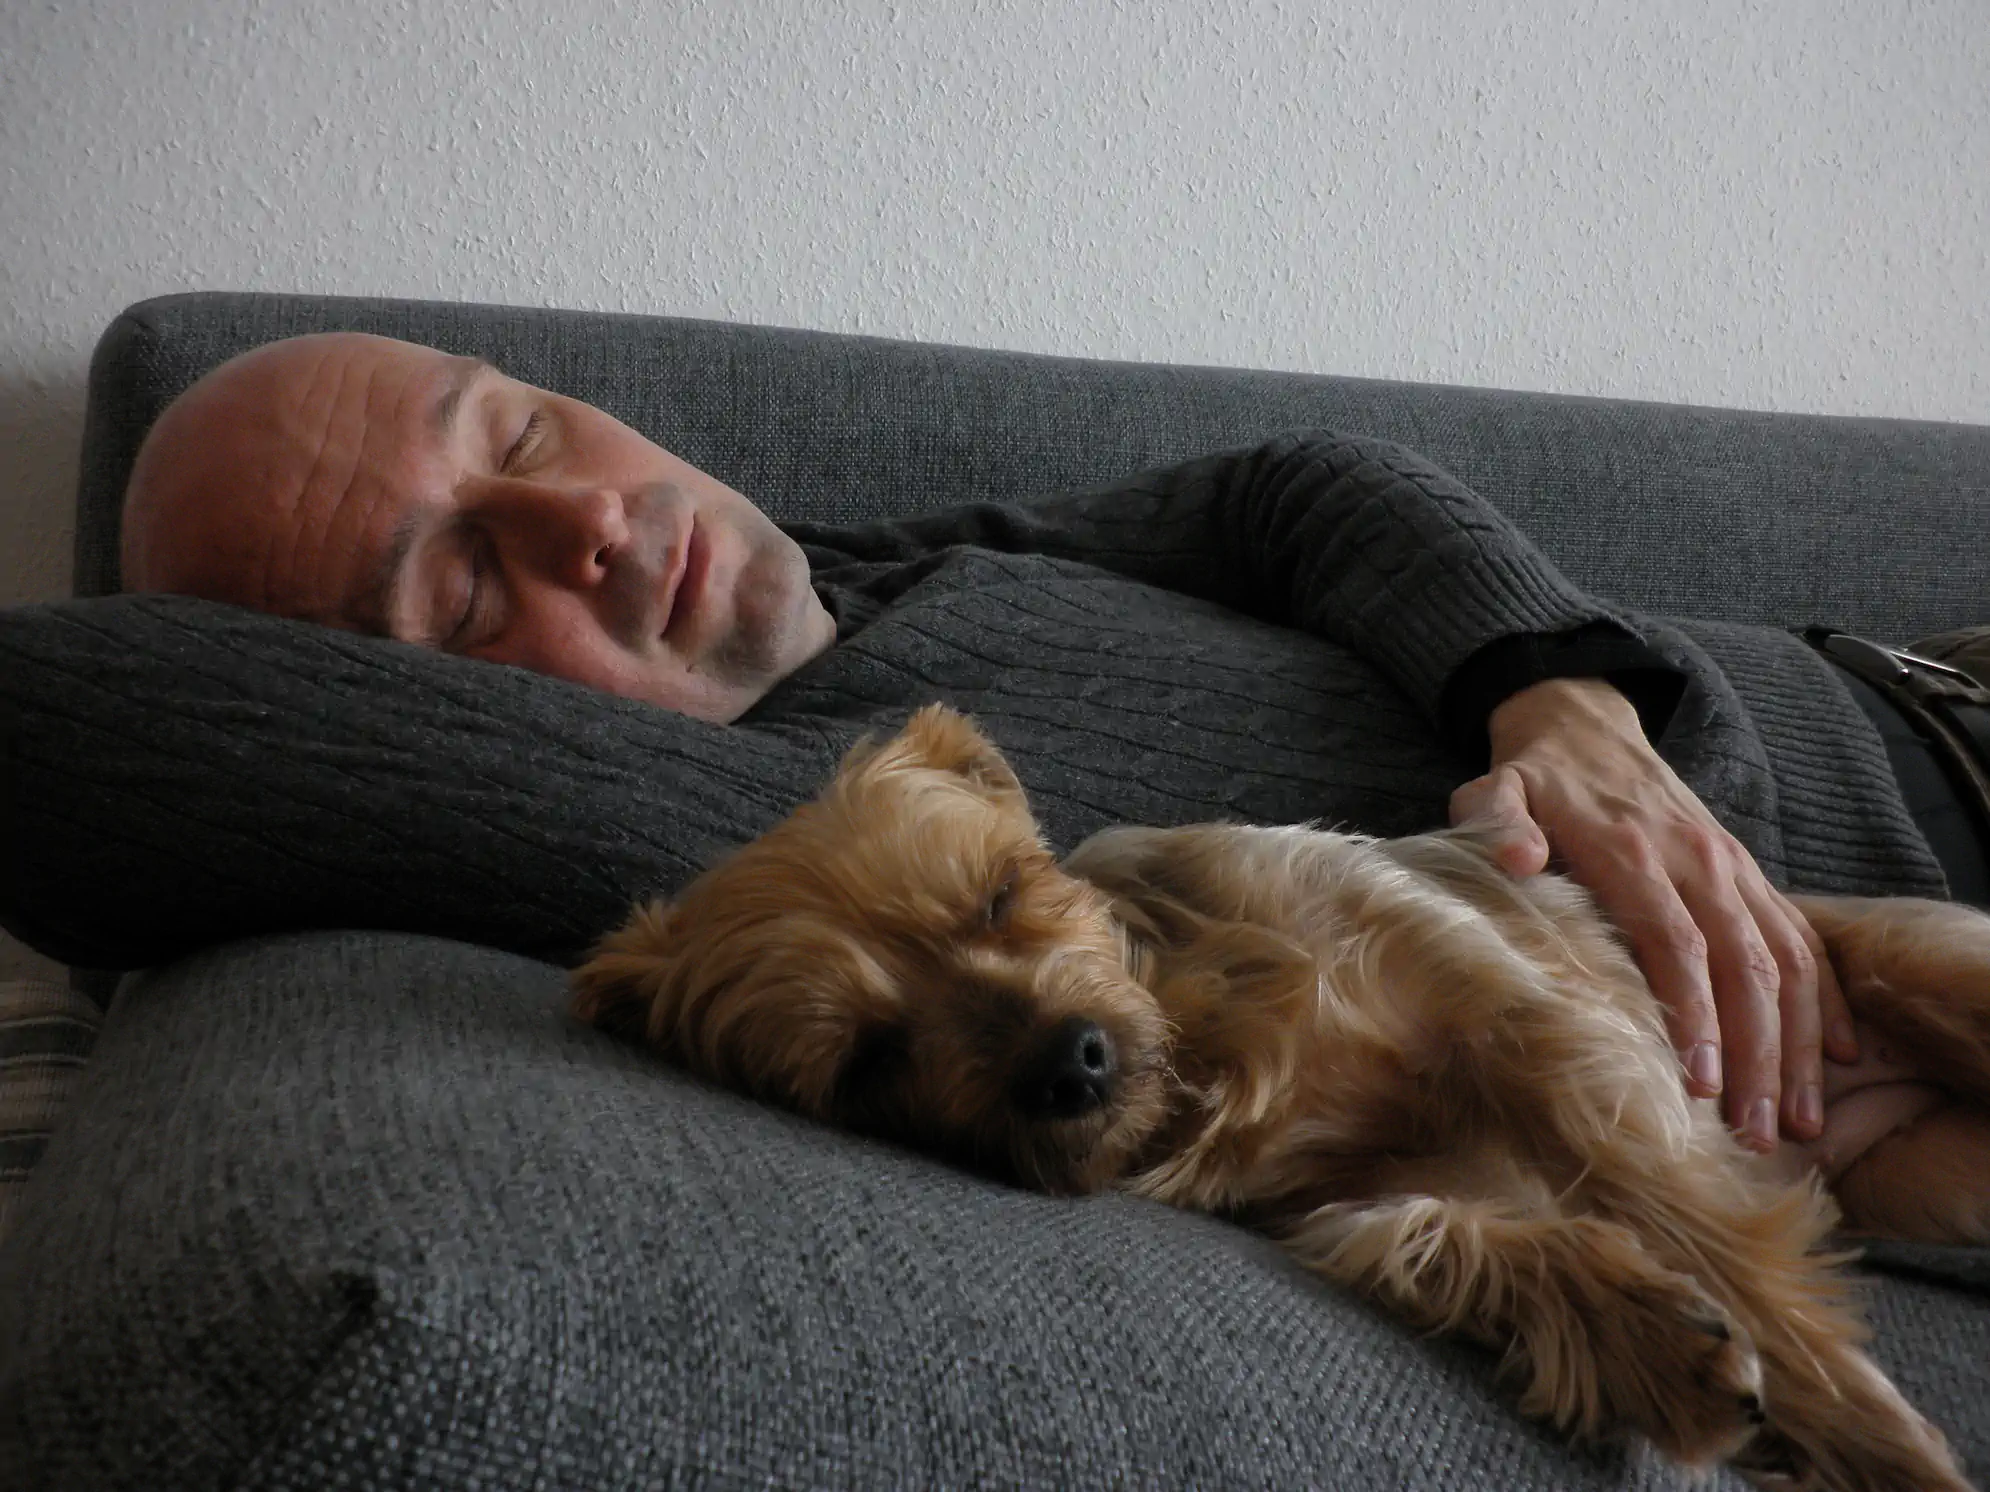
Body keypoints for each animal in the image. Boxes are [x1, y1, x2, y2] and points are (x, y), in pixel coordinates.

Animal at [573, 704, 1990, 1491]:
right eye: (869, 1059)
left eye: (998, 894)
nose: (1068, 1065)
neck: (1203, 1034)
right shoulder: (1334, 1195)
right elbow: (1431, 1232)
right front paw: (1651, 1342)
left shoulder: (1527, 1021)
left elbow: (1681, 1207)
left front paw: (1868, 1441)